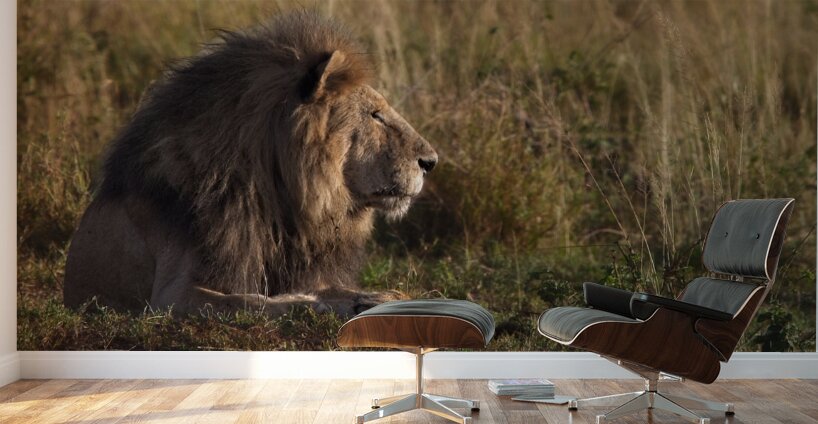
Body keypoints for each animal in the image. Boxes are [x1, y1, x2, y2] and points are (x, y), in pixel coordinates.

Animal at [63, 11, 437, 317]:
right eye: (375, 115)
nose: (431, 161)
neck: (276, 198)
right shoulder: (171, 297)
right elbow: (254, 301)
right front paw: (323, 303)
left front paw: (382, 297)